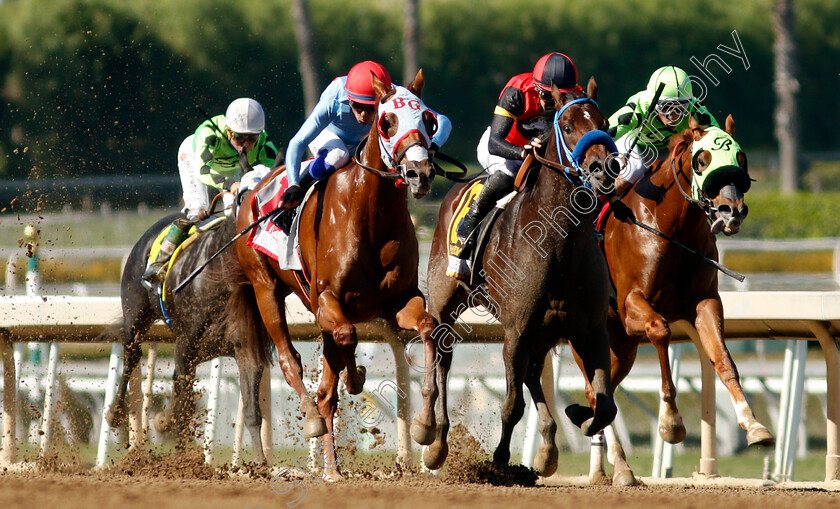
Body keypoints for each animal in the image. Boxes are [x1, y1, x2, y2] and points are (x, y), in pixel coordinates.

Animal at [228, 71, 440, 476]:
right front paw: (357, 378)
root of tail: (252, 190)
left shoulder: (400, 300)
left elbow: (427, 328)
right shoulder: (328, 298)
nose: (420, 174)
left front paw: (426, 427)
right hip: (266, 289)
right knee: (291, 360)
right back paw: (313, 421)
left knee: (327, 388)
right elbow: (346, 338)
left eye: (429, 120)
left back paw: (332, 468)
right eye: (387, 121)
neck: (370, 216)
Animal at [424, 77, 620, 474]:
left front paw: (579, 415)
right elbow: (512, 404)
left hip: (543, 331)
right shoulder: (515, 331)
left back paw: (547, 449)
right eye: (567, 126)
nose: (603, 167)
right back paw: (437, 442)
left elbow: (605, 406)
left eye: (605, 123)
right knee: (442, 360)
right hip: (444, 307)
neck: (558, 244)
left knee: (533, 372)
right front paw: (500, 461)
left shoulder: (589, 330)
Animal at [592, 115, 776, 484]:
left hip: (621, 345)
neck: (669, 228)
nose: (731, 212)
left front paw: (754, 426)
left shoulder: (704, 303)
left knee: (604, 393)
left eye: (742, 159)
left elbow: (723, 360)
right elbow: (660, 329)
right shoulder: (631, 305)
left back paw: (620, 466)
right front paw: (671, 424)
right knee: (596, 393)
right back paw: (617, 464)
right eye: (702, 160)